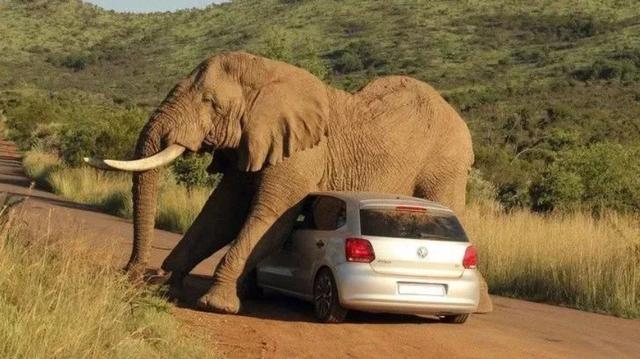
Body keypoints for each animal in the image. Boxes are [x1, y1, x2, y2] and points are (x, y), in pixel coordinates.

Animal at [86, 51, 490, 316]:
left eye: (211, 103)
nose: (133, 274)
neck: (270, 75)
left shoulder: (302, 153)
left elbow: (270, 219)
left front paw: (215, 304)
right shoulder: (252, 142)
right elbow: (220, 215)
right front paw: (168, 286)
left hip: (446, 161)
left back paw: (480, 306)